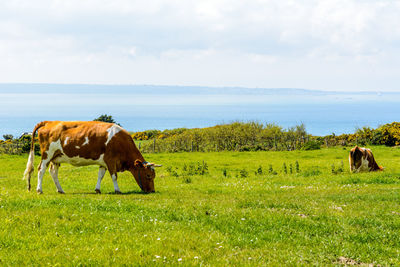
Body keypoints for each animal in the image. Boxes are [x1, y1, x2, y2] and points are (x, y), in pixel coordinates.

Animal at [22, 121, 160, 195]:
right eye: (148, 175)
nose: (152, 191)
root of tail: (50, 122)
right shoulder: (111, 160)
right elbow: (114, 176)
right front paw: (117, 190)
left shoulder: (104, 162)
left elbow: (100, 175)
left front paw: (97, 189)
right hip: (47, 154)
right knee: (41, 170)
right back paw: (39, 190)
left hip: (56, 157)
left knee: (53, 172)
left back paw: (60, 190)